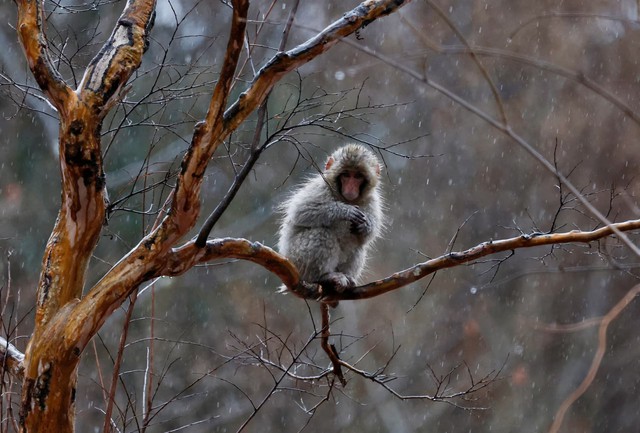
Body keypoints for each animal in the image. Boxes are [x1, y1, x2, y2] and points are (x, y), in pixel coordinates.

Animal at [278, 144, 383, 296]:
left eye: (357, 176)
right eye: (346, 175)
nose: (350, 188)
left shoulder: (372, 201)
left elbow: (368, 235)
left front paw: (366, 225)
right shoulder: (320, 187)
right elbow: (301, 211)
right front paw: (344, 211)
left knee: (359, 246)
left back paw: (346, 278)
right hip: (297, 258)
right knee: (322, 233)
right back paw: (324, 276)